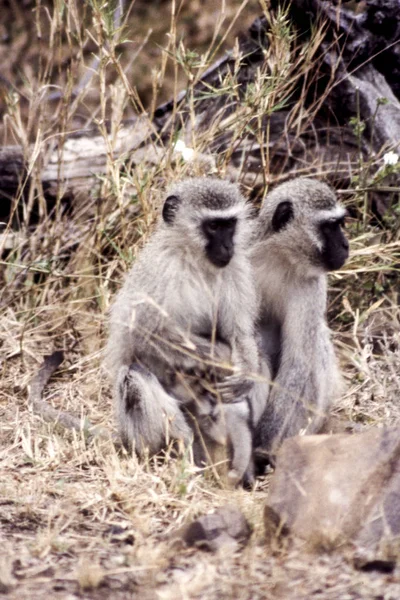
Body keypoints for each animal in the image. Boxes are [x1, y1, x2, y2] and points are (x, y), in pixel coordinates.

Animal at [105, 178, 268, 482]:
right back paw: (178, 451)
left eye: (229, 225)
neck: (194, 260)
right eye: (213, 226)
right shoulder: (159, 271)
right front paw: (218, 357)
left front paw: (243, 376)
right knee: (133, 378)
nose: (227, 247)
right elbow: (145, 334)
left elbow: (240, 334)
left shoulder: (237, 269)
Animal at [252, 178, 348, 460]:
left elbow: (298, 362)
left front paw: (261, 446)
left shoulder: (312, 286)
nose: (346, 245)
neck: (279, 258)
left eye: (340, 224)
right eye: (329, 226)